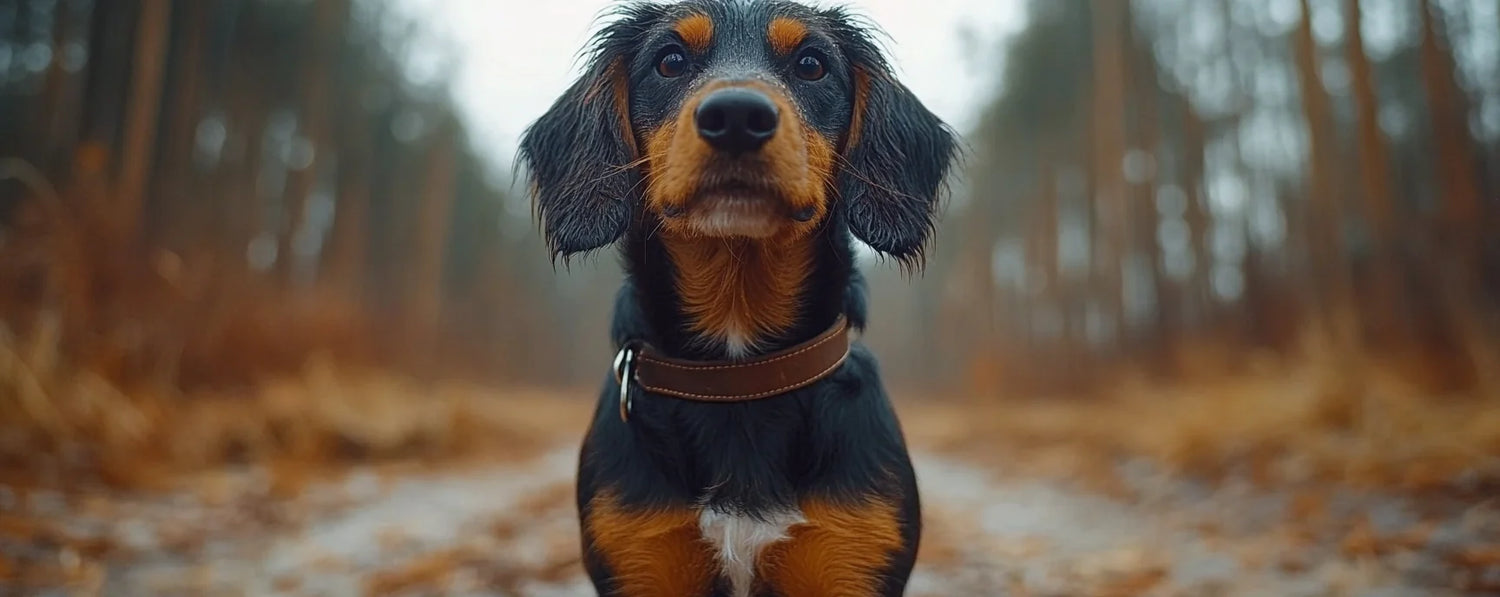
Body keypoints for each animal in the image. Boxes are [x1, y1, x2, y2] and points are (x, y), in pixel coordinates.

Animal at [522, 2, 954, 594]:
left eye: (812, 64)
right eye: (670, 60)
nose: (736, 117)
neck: (738, 376)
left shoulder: (854, 553)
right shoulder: (639, 554)